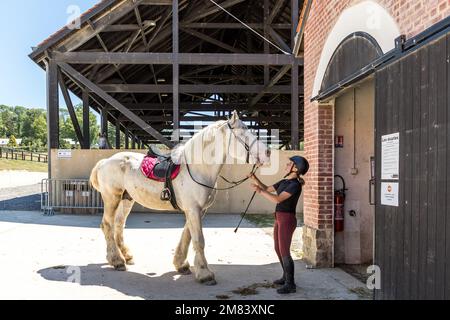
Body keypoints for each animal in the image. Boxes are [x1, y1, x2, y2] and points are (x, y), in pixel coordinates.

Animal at [89, 112, 268, 284]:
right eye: (243, 133)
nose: (267, 152)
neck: (198, 168)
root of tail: (105, 161)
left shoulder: (197, 210)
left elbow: (187, 235)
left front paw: (181, 264)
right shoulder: (193, 209)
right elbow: (198, 240)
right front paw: (205, 274)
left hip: (126, 199)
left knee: (119, 225)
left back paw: (126, 256)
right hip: (112, 198)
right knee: (107, 225)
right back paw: (117, 260)